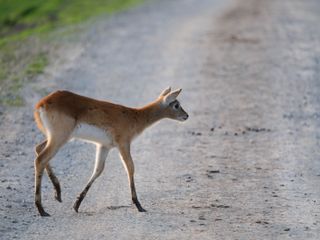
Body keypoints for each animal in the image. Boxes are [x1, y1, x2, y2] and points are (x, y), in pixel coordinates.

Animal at [33, 87, 188, 217]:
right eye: (176, 105)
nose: (186, 116)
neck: (135, 117)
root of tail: (42, 103)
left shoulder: (104, 146)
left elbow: (98, 170)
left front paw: (77, 204)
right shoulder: (123, 144)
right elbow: (130, 168)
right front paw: (139, 205)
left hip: (57, 137)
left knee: (38, 149)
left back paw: (57, 194)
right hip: (60, 137)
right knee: (41, 159)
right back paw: (41, 209)